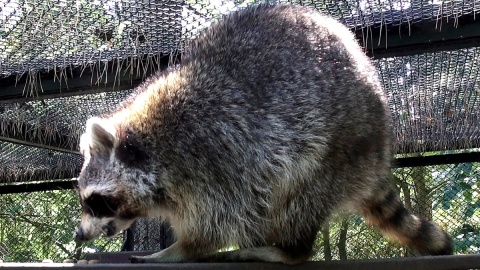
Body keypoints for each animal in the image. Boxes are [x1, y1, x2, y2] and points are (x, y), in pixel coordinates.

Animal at [76, 3, 454, 264]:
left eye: (95, 200)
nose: (79, 235)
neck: (151, 146)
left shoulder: (214, 150)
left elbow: (218, 220)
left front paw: (183, 248)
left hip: (340, 144)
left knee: (298, 194)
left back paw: (290, 249)